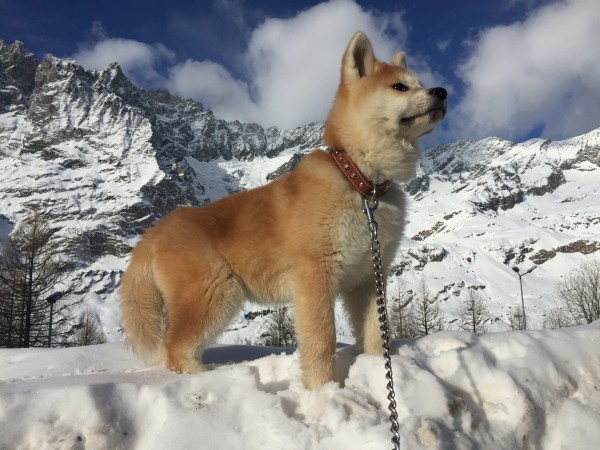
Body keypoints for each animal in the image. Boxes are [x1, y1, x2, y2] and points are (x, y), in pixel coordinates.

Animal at [119, 32, 446, 390]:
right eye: (400, 87)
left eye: (421, 83)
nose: (442, 91)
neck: (361, 183)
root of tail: (155, 231)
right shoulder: (315, 276)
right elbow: (322, 343)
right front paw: (324, 391)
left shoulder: (367, 279)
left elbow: (376, 336)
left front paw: (378, 374)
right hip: (214, 295)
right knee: (176, 350)